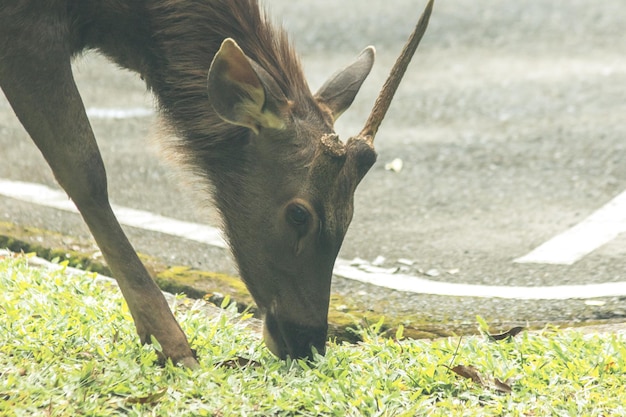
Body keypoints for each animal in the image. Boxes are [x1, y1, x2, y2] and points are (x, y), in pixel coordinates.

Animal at [0, 0, 432, 368]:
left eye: (351, 214)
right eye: (298, 214)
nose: (307, 342)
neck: (115, 20)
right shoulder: (25, 29)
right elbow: (85, 171)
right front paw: (172, 344)